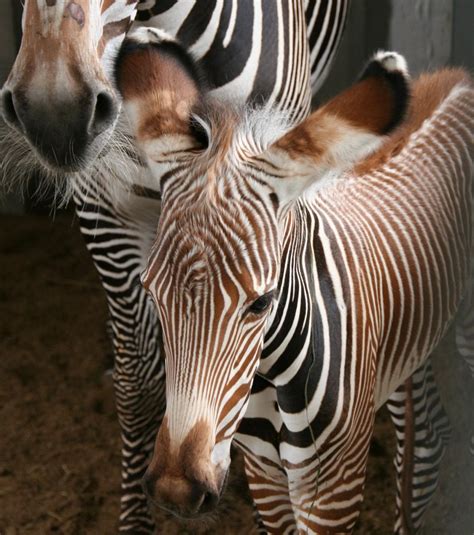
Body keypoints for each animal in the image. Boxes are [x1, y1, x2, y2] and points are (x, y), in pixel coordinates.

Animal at [115, 30, 474, 535]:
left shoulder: (333, 488)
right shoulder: (264, 473)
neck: (272, 378)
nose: (175, 491)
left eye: (261, 303)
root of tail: (458, 80)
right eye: (152, 292)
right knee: (427, 435)